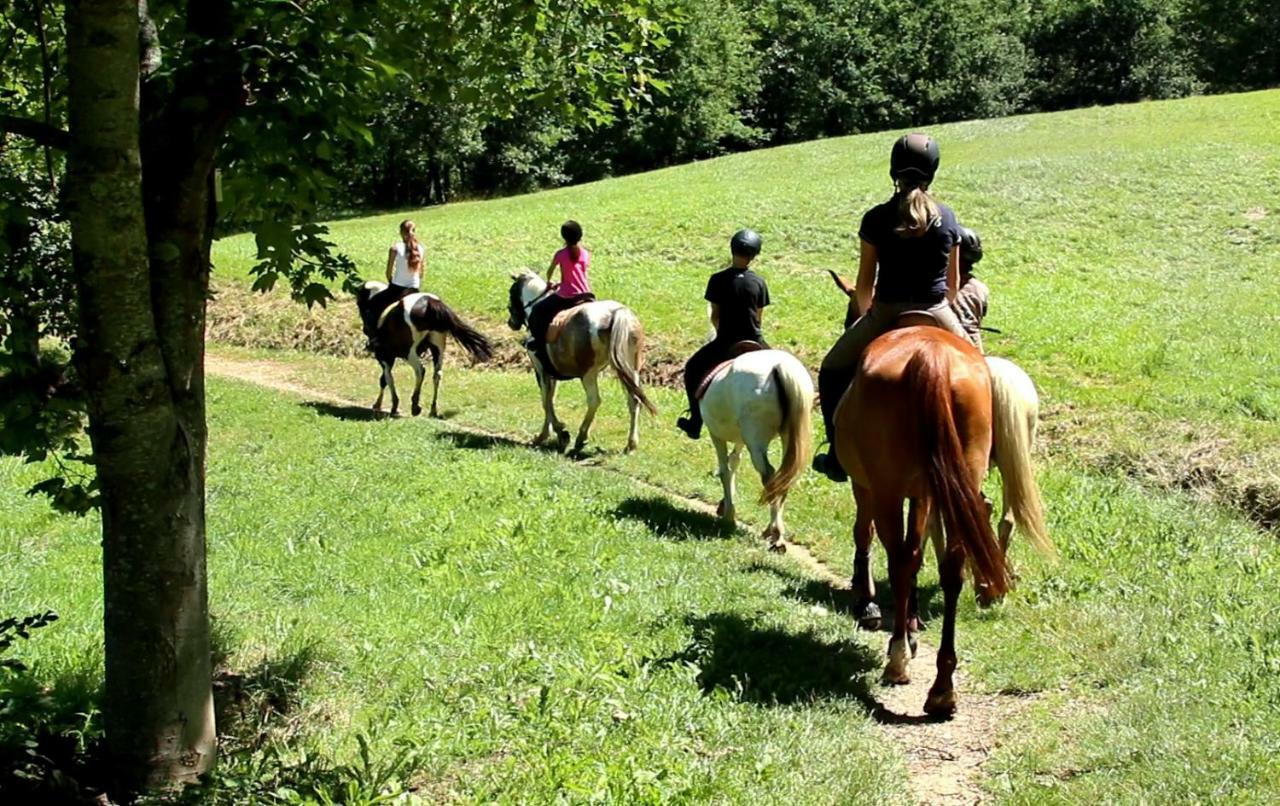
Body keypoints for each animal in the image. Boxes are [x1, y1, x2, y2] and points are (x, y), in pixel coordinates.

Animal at [358, 284, 491, 419]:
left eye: (361, 305)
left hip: (409, 352)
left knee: (420, 370)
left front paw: (386, 406)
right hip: (438, 347)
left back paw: (415, 406)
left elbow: (386, 379)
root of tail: (430, 303)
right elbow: (386, 378)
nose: (365, 329)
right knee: (437, 374)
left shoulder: (384, 356)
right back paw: (433, 410)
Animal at [504, 271, 655, 455]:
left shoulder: (540, 369)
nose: (511, 322)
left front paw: (556, 434)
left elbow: (546, 400)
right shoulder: (551, 373)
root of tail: (617, 314)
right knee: (634, 400)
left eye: (511, 293)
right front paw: (552, 433)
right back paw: (631, 444)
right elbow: (550, 398)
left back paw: (581, 437)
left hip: (589, 373)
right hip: (631, 369)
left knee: (594, 400)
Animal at [696, 347, 814, 550]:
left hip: (756, 441)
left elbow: (725, 471)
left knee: (769, 476)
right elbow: (734, 462)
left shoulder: (716, 435)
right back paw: (775, 533)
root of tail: (780, 367)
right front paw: (726, 506)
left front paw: (729, 514)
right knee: (782, 480)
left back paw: (775, 534)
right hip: (788, 440)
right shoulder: (740, 440)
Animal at [834, 327, 1013, 721]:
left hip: (886, 490)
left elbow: (868, 535)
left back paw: (898, 659)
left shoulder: (869, 487)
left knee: (900, 561)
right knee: (951, 569)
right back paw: (943, 690)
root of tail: (931, 355)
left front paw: (870, 602)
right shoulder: (925, 494)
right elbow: (918, 552)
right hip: (961, 480)